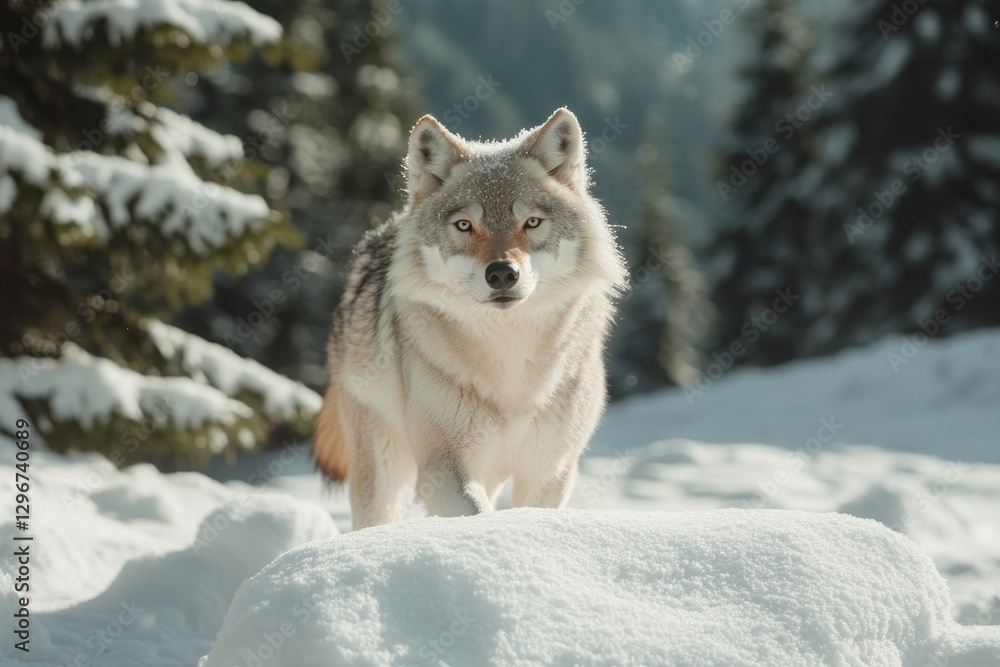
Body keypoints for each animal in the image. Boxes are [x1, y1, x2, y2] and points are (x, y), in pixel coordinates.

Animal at [312, 108, 627, 530]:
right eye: (465, 225)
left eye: (531, 222)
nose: (502, 274)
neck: (511, 366)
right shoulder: (443, 467)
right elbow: (478, 515)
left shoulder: (550, 471)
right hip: (382, 470)